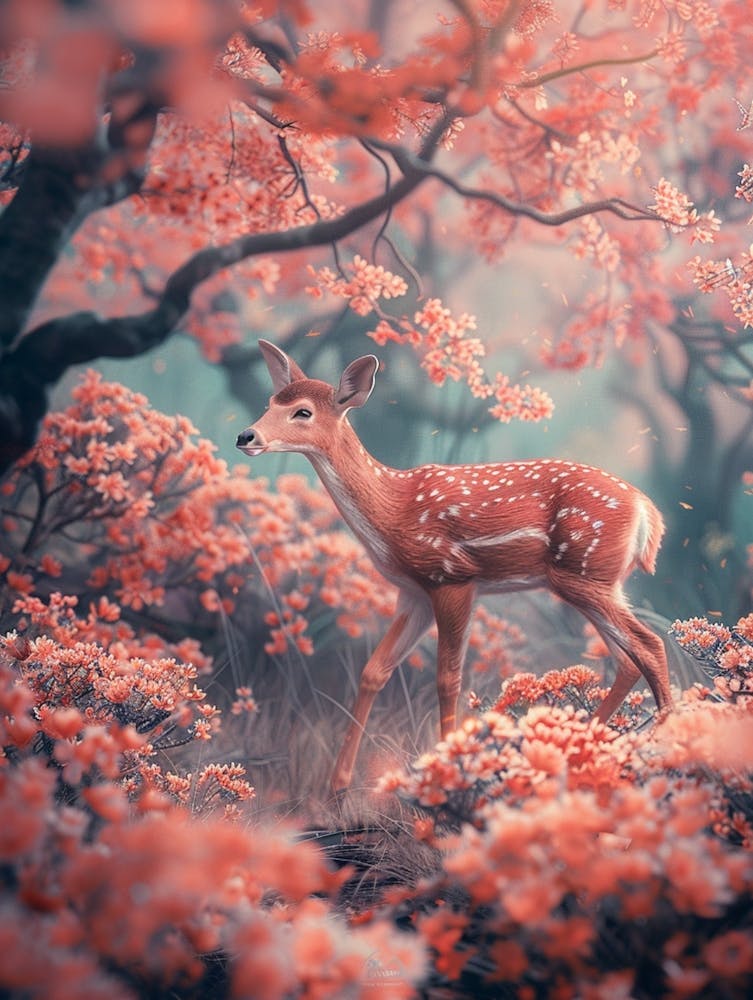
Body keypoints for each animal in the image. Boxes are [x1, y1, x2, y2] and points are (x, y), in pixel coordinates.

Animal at [236, 340, 673, 792]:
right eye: (271, 402)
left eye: (302, 411)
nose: (245, 435)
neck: (392, 511)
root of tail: (648, 513)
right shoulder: (412, 592)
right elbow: (374, 671)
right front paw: (337, 785)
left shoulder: (452, 576)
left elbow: (448, 679)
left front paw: (450, 768)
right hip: (593, 581)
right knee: (627, 659)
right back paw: (580, 748)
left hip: (585, 573)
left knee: (649, 645)